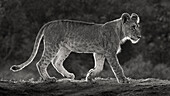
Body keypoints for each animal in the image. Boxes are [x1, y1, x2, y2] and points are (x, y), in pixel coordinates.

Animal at [10, 12, 141, 83]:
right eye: (133, 27)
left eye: (138, 26)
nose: (139, 36)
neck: (120, 32)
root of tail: (49, 23)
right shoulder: (110, 52)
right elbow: (117, 67)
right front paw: (123, 80)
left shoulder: (99, 53)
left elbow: (99, 68)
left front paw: (89, 76)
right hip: (52, 45)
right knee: (41, 63)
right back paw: (48, 79)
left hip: (65, 48)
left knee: (56, 61)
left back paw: (69, 76)